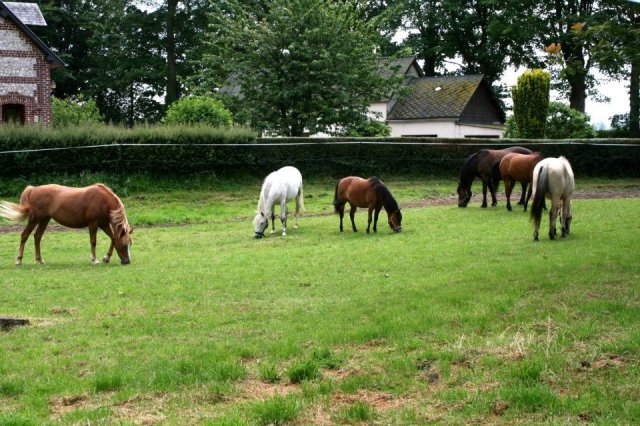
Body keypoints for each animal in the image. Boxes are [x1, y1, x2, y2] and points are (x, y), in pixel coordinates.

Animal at [0, 184, 133, 264]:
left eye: (129, 244)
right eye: (123, 245)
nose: (127, 262)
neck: (103, 200)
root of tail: (33, 189)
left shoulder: (104, 224)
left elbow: (113, 238)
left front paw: (106, 258)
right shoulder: (93, 224)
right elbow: (93, 241)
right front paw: (94, 259)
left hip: (45, 219)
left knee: (37, 237)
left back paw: (40, 260)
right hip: (35, 219)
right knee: (24, 235)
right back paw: (19, 260)